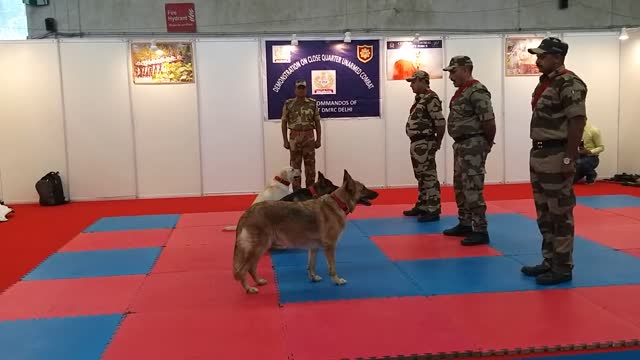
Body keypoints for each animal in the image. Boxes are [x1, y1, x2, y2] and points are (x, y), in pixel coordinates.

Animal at [232, 170, 378, 294]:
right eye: (363, 188)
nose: (378, 193)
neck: (339, 203)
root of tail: (247, 212)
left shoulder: (313, 248)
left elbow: (311, 265)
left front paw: (313, 278)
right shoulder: (329, 247)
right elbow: (332, 268)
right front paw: (336, 280)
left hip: (259, 249)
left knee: (251, 268)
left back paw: (258, 281)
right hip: (258, 248)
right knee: (242, 270)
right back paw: (249, 288)